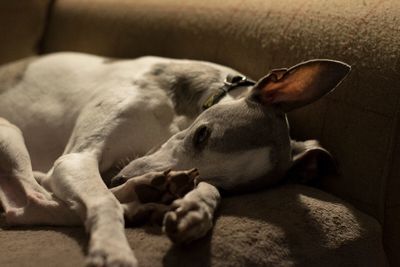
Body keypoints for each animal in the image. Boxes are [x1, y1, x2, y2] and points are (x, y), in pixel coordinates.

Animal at [0, 52, 350, 267]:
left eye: (223, 184)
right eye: (202, 134)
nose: (120, 178)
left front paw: (194, 211)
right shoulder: (76, 158)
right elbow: (103, 200)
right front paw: (113, 248)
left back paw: (149, 197)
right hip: (10, 134)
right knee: (34, 199)